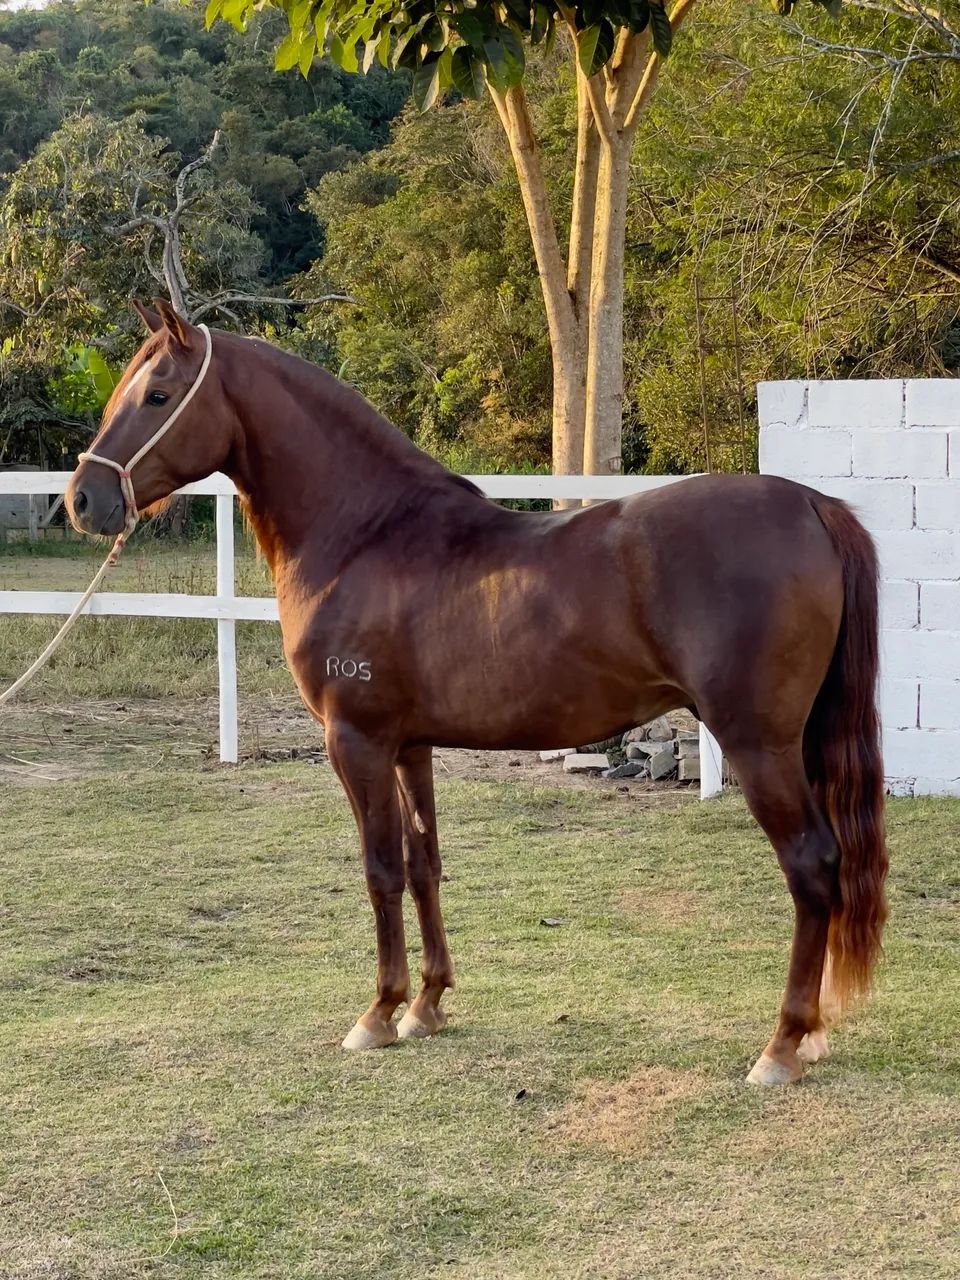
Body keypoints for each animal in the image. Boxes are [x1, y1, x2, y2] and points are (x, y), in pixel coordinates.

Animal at [66, 301, 888, 1086]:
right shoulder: (410, 747)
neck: (365, 535)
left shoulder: (356, 742)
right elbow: (424, 863)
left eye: (158, 393)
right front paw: (426, 1005)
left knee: (812, 864)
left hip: (759, 743)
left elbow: (380, 869)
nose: (83, 500)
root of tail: (812, 506)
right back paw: (811, 1036)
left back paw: (781, 1047)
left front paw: (377, 1013)